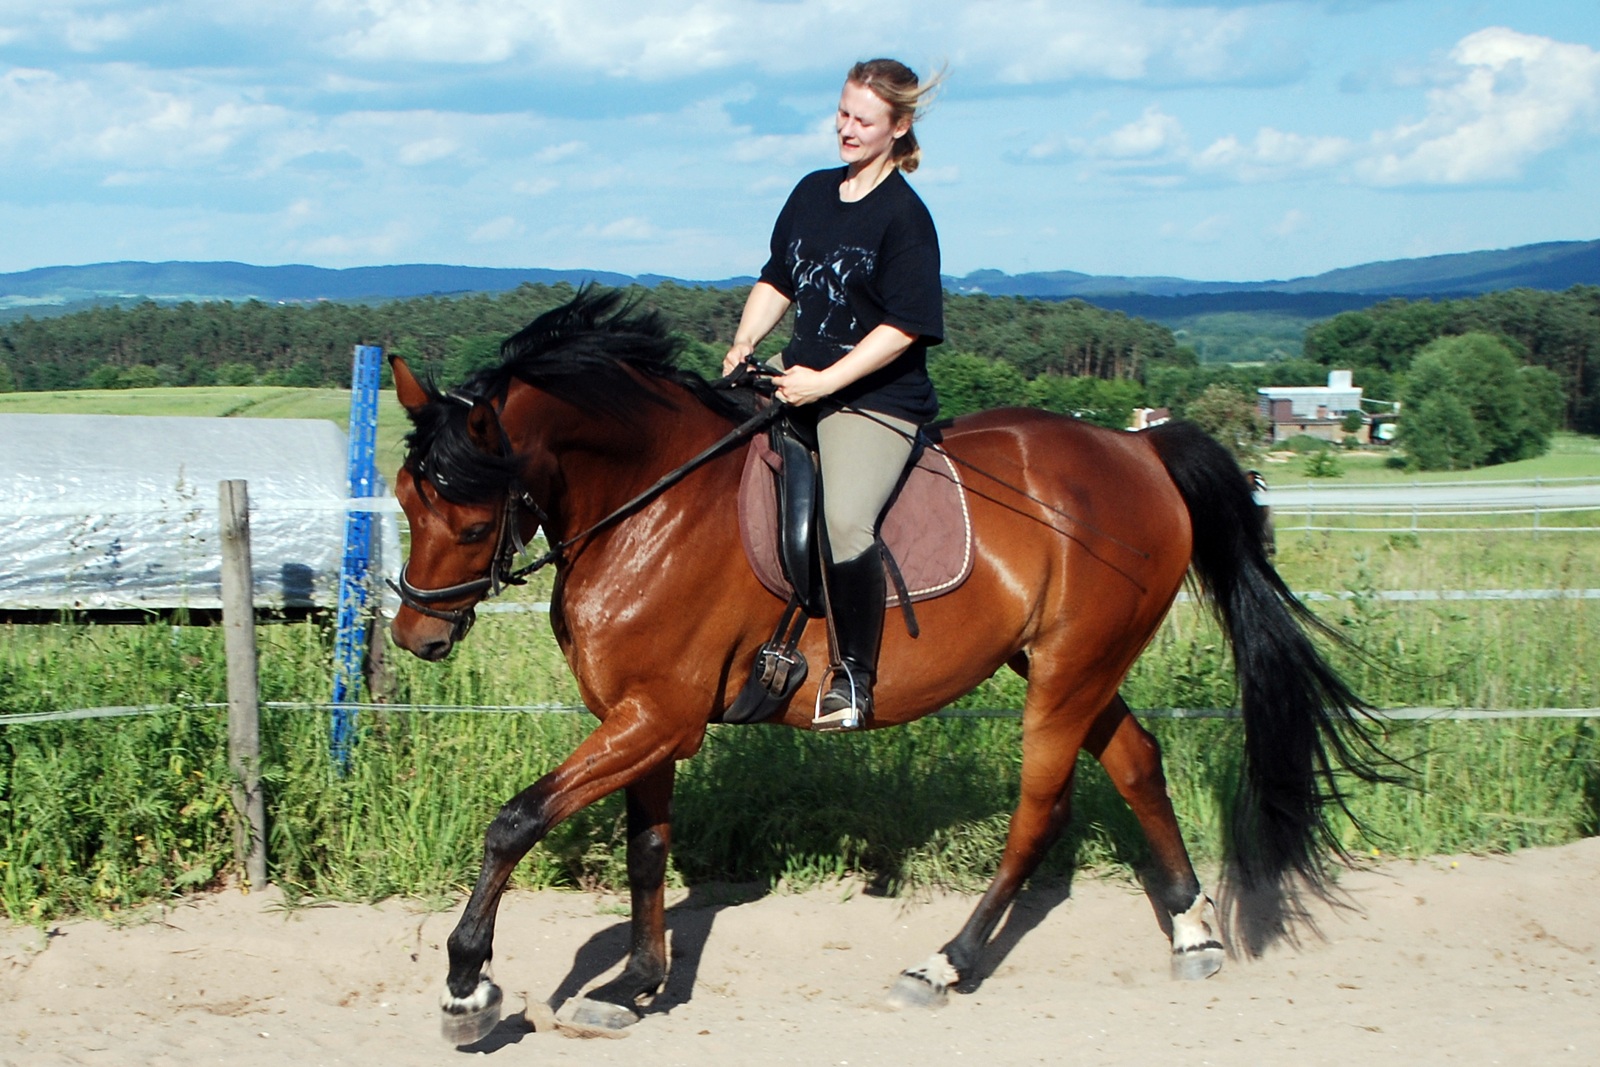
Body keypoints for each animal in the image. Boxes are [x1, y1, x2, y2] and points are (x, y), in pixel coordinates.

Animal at [387, 287, 1388, 1049]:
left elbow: (515, 821)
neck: (652, 506)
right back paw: (1189, 931)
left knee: (1039, 811)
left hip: (1067, 674)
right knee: (1138, 760)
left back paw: (943, 963)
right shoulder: (643, 718)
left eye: (470, 518)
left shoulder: (658, 717)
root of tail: (1138, 446)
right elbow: (647, 849)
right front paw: (635, 983)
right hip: (1073, 665)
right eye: (403, 498)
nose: (416, 638)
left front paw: (468, 985)